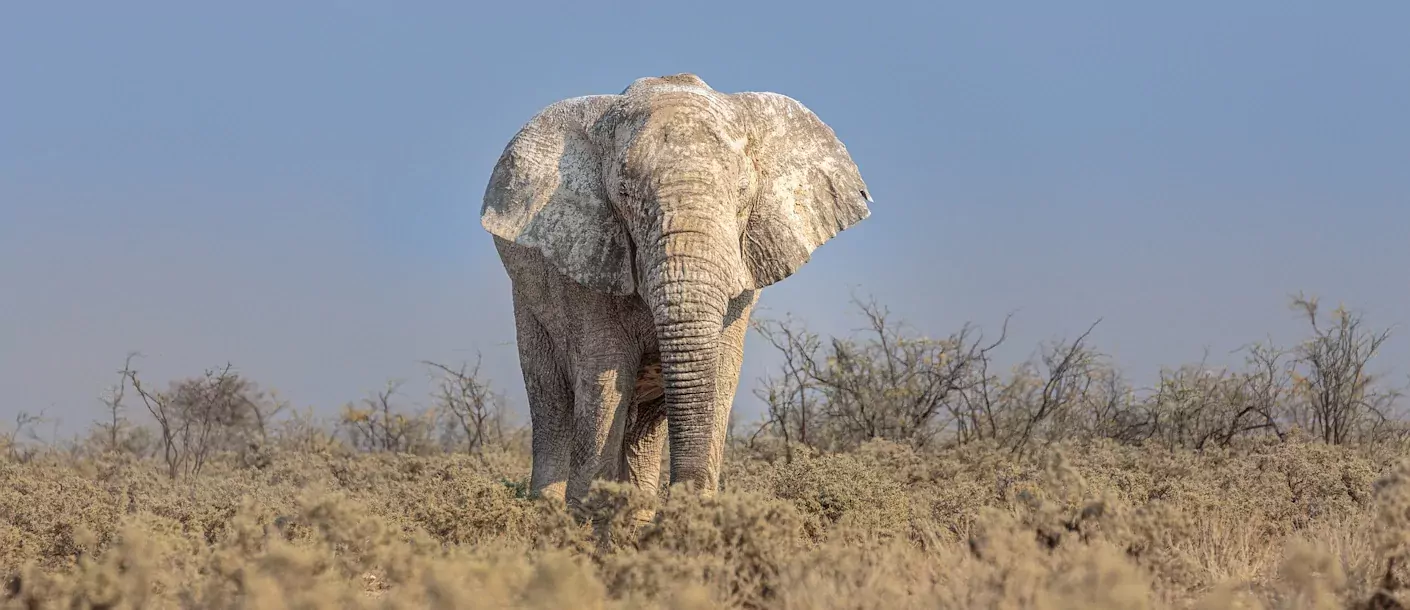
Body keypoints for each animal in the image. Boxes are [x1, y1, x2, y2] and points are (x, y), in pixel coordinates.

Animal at [482, 72, 868, 512]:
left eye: (742, 191)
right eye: (624, 194)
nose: (683, 500)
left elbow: (721, 374)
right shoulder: (586, 258)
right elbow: (603, 376)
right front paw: (586, 520)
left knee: (645, 426)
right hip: (528, 301)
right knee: (552, 400)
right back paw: (548, 511)